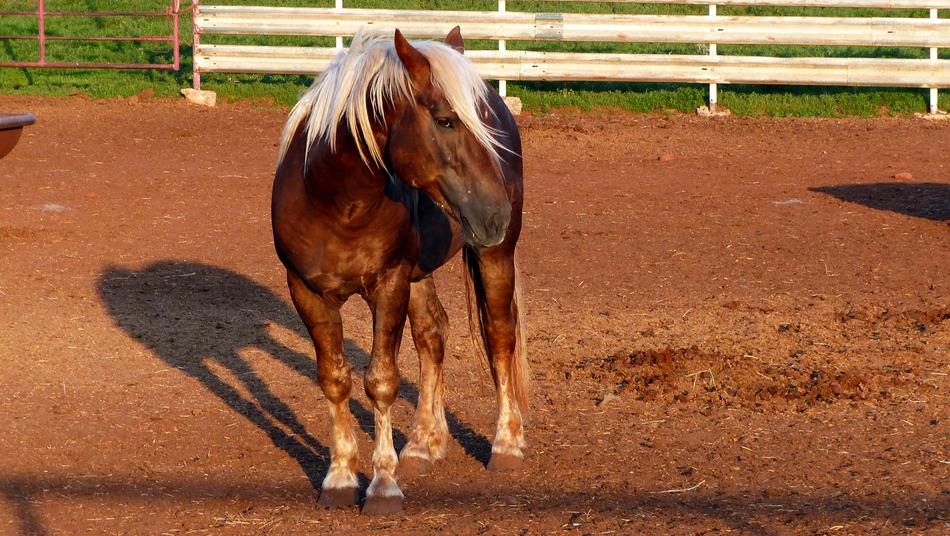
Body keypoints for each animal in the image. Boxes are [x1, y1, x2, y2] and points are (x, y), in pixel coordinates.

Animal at [271, 27, 528, 515]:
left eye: (480, 122)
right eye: (445, 120)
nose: (496, 213)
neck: (337, 204)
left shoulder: (389, 285)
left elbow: (381, 381)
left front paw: (382, 485)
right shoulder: (306, 292)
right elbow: (335, 379)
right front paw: (339, 477)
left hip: (495, 256)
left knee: (500, 336)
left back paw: (506, 443)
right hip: (421, 272)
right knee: (432, 336)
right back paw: (423, 446)